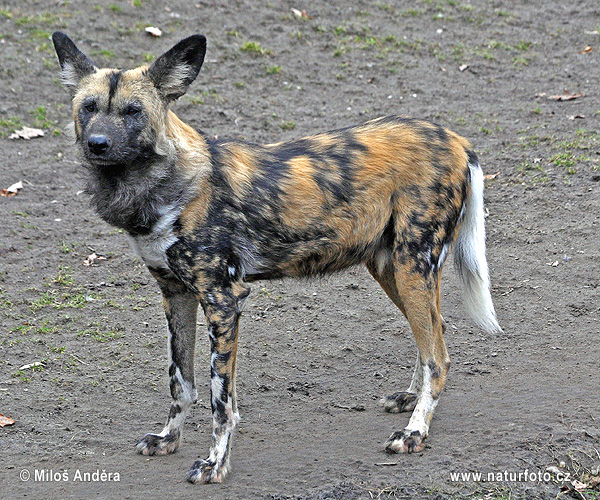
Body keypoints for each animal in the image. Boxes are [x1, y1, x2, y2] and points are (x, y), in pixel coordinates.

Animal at [51, 32, 502, 484]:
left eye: (133, 111)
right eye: (89, 108)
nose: (98, 144)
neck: (162, 185)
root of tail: (457, 140)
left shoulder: (223, 300)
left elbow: (221, 401)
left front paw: (215, 463)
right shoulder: (176, 293)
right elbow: (181, 382)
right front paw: (168, 439)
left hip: (412, 266)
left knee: (439, 357)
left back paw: (415, 433)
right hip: (393, 269)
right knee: (433, 334)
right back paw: (411, 398)